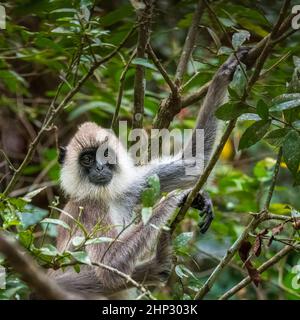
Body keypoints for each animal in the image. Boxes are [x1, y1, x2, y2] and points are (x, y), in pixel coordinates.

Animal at [47, 48, 248, 298]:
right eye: (87, 159)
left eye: (105, 155)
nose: (100, 168)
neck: (105, 196)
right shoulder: (89, 207)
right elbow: (109, 267)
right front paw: (176, 197)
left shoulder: (129, 187)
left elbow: (194, 162)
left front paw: (225, 73)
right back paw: (157, 265)